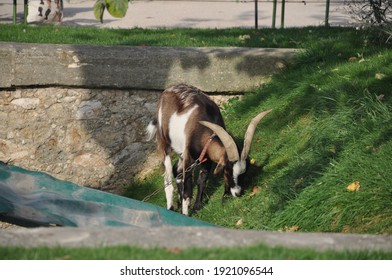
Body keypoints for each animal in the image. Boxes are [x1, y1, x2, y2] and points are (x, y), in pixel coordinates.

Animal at [145, 84, 272, 215]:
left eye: (245, 172)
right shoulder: (189, 157)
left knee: (177, 170)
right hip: (164, 143)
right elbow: (187, 190)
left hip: (181, 151)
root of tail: (167, 91)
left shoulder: (205, 157)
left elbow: (202, 179)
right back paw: (171, 206)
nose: (238, 193)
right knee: (168, 176)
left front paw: (197, 206)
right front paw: (185, 213)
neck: (200, 131)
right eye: (227, 170)